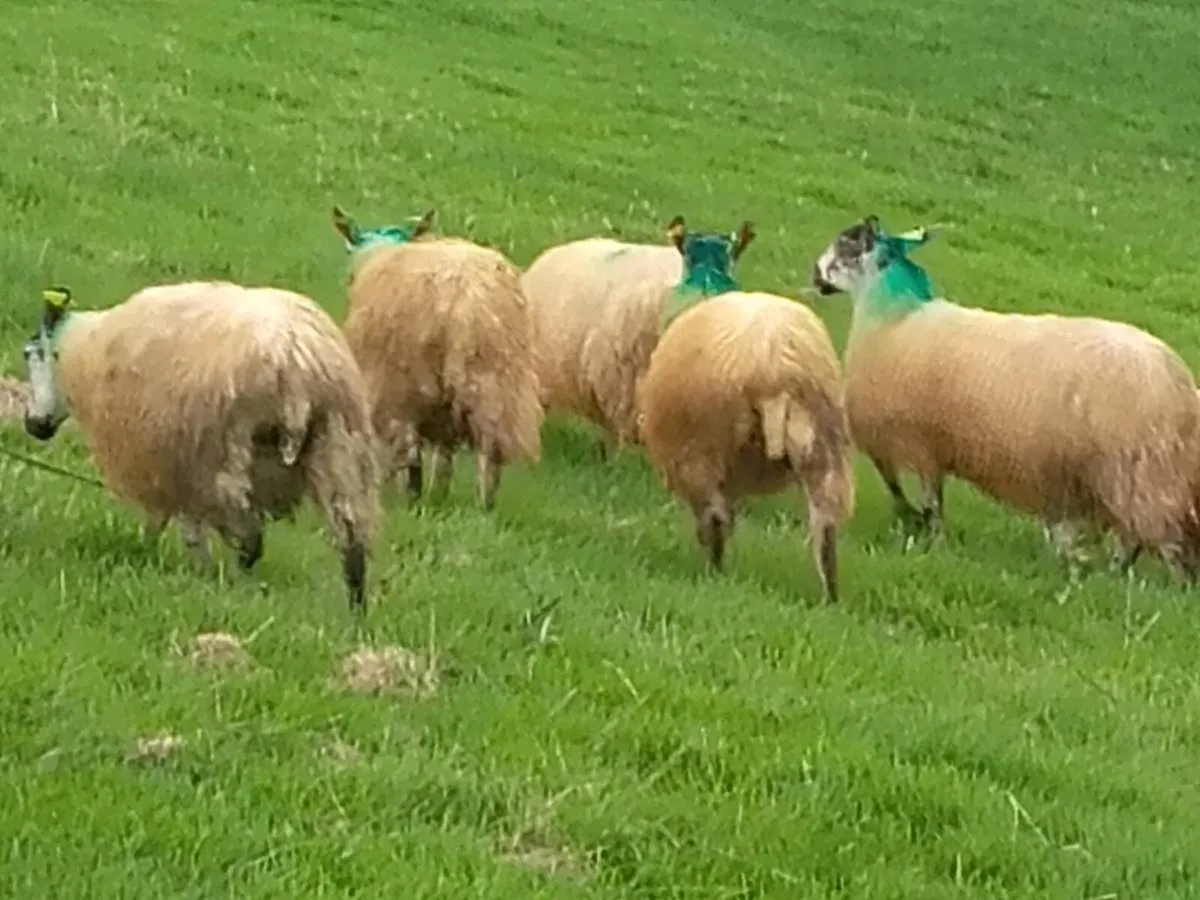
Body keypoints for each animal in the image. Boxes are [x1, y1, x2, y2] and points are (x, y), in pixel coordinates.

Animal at [21, 283, 380, 612]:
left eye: (30, 353)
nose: (33, 425)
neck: (80, 352)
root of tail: (295, 357)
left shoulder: (171, 462)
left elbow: (179, 528)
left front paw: (189, 570)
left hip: (225, 448)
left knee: (250, 538)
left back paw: (237, 587)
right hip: (338, 443)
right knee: (351, 541)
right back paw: (355, 612)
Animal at [332, 205, 543, 511]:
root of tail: (464, 295)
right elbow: (444, 456)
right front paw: (440, 495)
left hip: (406, 378)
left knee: (408, 449)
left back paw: (410, 500)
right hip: (497, 377)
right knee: (491, 449)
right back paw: (484, 507)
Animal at [636, 287, 854, 602]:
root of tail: (773, 368)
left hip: (703, 451)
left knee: (714, 518)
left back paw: (715, 573)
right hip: (823, 444)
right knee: (826, 527)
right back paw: (831, 597)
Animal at [811, 215, 1200, 582]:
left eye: (847, 242)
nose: (814, 275)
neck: (893, 316)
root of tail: (1181, 387)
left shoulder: (911, 439)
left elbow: (918, 496)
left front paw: (924, 530)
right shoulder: (924, 442)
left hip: (1141, 477)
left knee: (1163, 546)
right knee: (1136, 540)